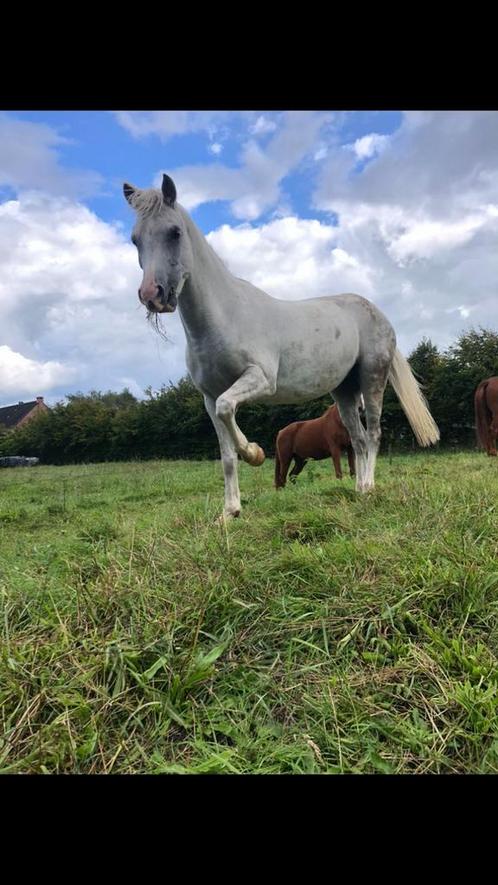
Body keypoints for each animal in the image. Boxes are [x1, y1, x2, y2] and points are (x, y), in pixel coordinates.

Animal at [123, 173, 440, 516]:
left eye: (175, 232)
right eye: (135, 239)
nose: (153, 295)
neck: (223, 317)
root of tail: (379, 314)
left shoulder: (260, 380)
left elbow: (228, 410)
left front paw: (255, 453)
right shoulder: (209, 397)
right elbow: (226, 456)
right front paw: (229, 512)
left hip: (372, 378)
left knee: (373, 434)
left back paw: (368, 488)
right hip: (344, 391)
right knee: (357, 440)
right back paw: (357, 491)